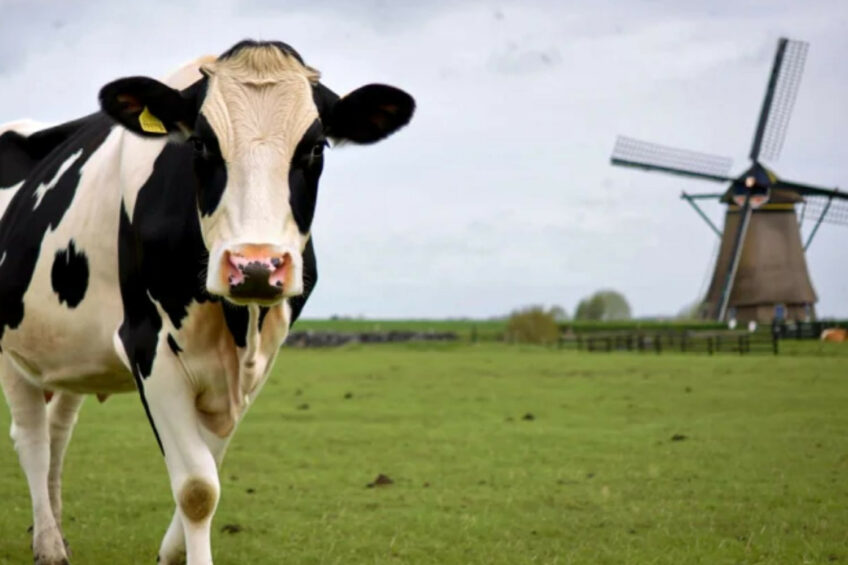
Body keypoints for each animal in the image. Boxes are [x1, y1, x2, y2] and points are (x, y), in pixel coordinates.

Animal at [0, 40, 414, 565]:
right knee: (31, 436)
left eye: (316, 147)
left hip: (70, 350)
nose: (256, 266)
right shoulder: (147, 346)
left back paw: (51, 530)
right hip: (10, 347)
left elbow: (209, 467)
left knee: (57, 431)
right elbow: (198, 487)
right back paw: (50, 545)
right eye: (200, 144)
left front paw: (171, 552)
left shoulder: (255, 364)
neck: (235, 326)